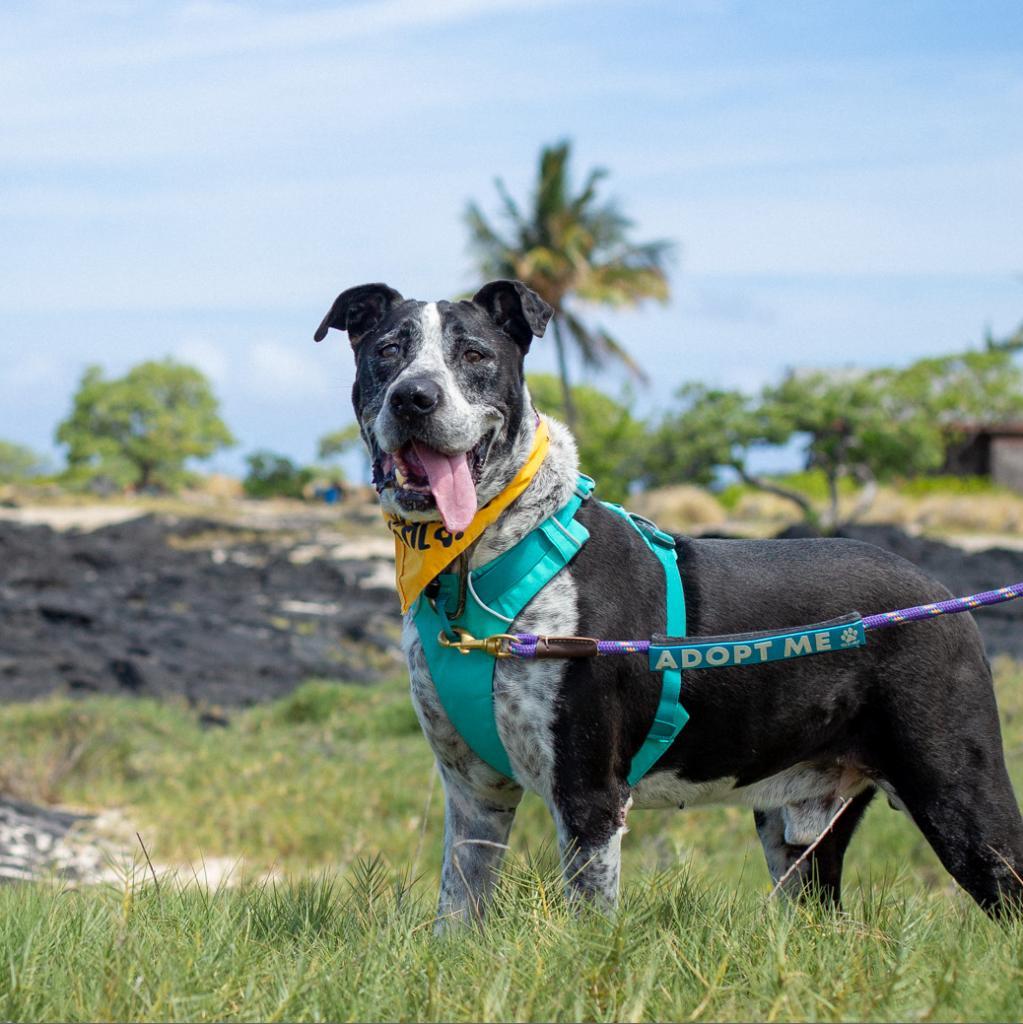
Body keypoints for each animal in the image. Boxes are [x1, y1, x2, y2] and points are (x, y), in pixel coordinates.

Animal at [313, 276, 1023, 925]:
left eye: (474, 354)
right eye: (388, 349)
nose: (414, 397)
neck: (475, 562)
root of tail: (936, 590)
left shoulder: (590, 798)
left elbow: (589, 923)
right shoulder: (474, 798)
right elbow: (457, 915)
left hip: (960, 794)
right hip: (797, 834)